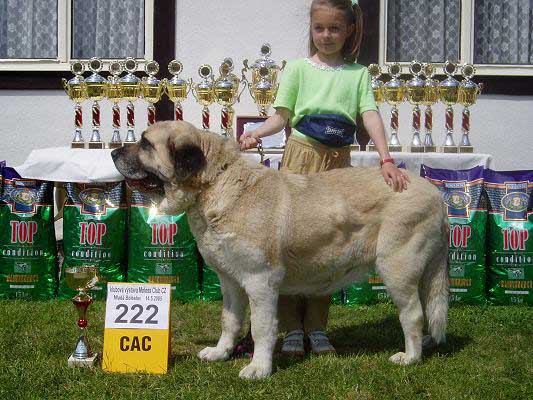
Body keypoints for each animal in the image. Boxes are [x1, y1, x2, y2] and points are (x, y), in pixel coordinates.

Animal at [112, 120, 448, 380]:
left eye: (145, 143)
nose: (114, 151)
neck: (214, 185)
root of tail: (436, 195)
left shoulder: (260, 280)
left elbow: (261, 327)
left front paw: (259, 368)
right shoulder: (230, 282)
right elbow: (230, 320)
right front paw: (221, 352)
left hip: (397, 268)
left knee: (413, 314)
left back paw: (410, 356)